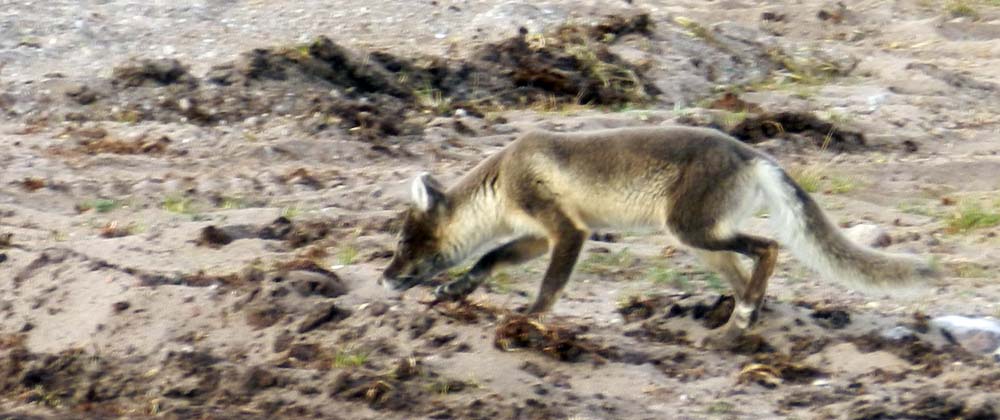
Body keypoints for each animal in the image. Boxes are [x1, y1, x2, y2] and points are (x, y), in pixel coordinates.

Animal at [381, 126, 938, 346]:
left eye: (405, 245)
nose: (385, 279)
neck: (500, 183)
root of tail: (752, 152)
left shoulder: (569, 231)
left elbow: (549, 287)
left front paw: (529, 319)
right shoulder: (541, 235)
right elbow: (489, 260)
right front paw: (457, 288)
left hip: (692, 231)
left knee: (770, 247)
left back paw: (743, 318)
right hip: (700, 241)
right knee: (747, 274)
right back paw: (736, 324)